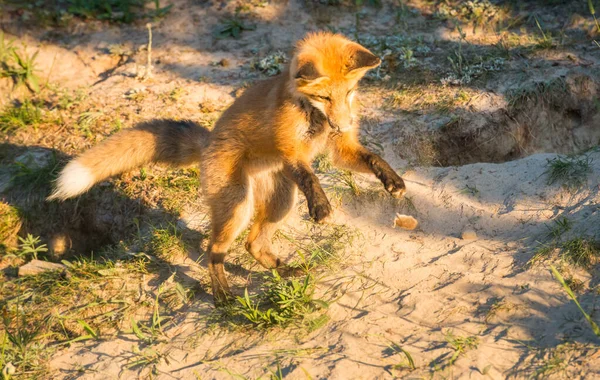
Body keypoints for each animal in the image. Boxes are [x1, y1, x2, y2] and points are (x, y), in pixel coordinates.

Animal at [49, 31, 406, 306]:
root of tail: (208, 142)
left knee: (253, 244)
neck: (312, 117)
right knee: (213, 250)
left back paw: (282, 270)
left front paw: (393, 181)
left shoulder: (339, 149)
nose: (343, 125)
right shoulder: (290, 150)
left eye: (349, 92)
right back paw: (222, 293)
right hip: (238, 206)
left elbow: (372, 158)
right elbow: (309, 175)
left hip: (280, 202)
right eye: (323, 96)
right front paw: (319, 205)